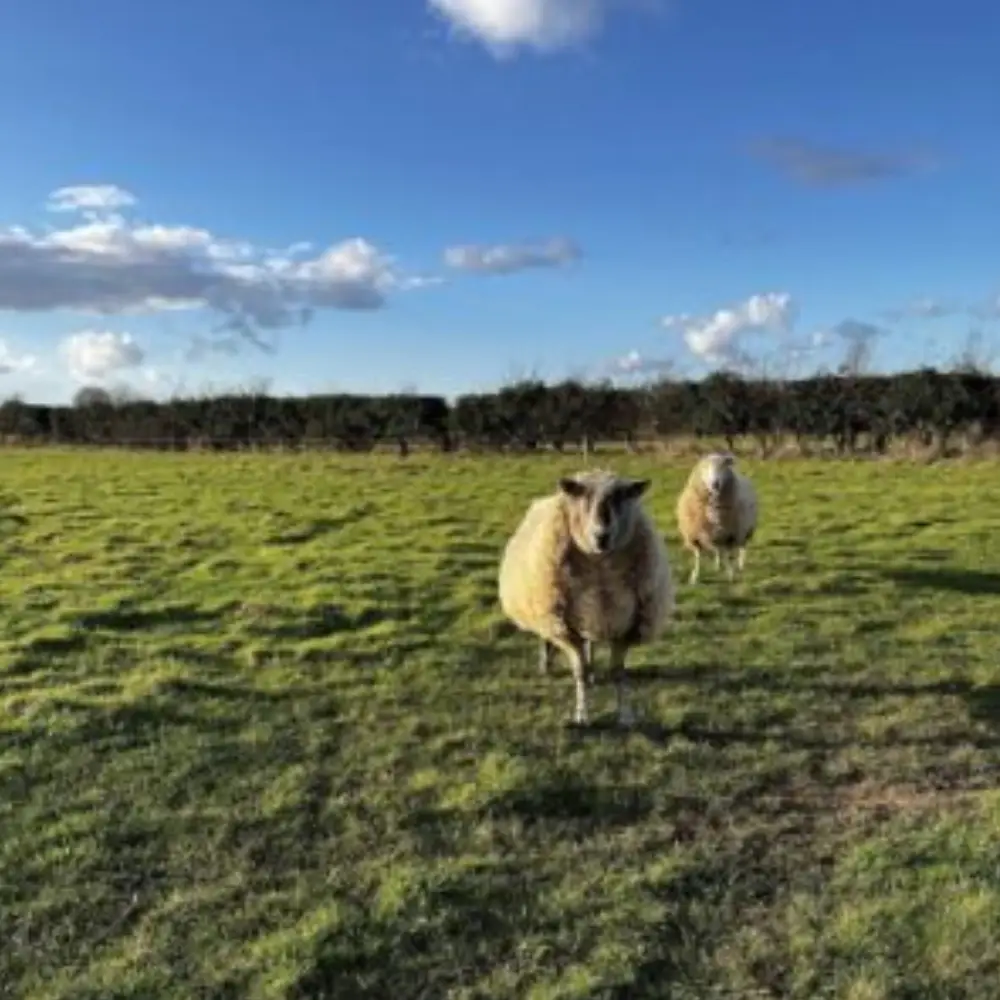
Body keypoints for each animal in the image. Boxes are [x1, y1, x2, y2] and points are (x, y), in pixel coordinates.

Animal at [498, 469, 675, 727]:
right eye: (582, 496)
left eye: (622, 496)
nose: (601, 536)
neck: (599, 562)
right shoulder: (565, 627)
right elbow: (579, 671)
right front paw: (582, 714)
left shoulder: (627, 626)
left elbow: (618, 673)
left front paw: (625, 715)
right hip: (546, 609)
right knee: (547, 637)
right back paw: (547, 663)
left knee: (590, 642)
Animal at [676, 451, 758, 584]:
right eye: (705, 467)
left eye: (723, 466)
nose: (715, 484)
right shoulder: (695, 535)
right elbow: (698, 558)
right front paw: (695, 577)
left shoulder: (731, 535)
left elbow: (728, 557)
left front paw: (731, 575)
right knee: (719, 550)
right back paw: (718, 565)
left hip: (746, 529)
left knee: (742, 547)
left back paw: (740, 565)